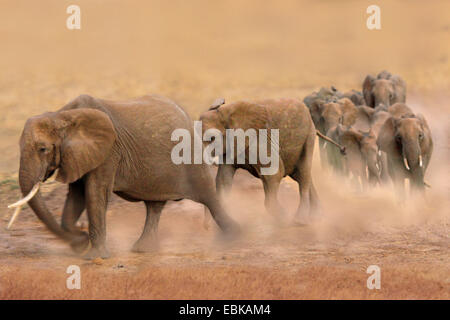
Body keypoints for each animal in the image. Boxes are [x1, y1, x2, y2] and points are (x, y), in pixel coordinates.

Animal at [8, 94, 239, 258]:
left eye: (43, 149)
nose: (80, 239)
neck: (61, 115)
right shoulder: (78, 155)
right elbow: (77, 195)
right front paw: (80, 243)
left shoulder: (108, 152)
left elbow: (95, 194)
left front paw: (92, 256)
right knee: (155, 206)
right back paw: (142, 250)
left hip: (191, 157)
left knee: (209, 197)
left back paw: (236, 237)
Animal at [200, 97, 320, 225]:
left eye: (212, 138)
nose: (206, 226)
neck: (223, 114)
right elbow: (223, 179)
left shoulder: (258, 140)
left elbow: (274, 172)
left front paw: (285, 218)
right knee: (299, 175)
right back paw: (318, 217)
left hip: (309, 135)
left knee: (303, 173)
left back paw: (300, 221)